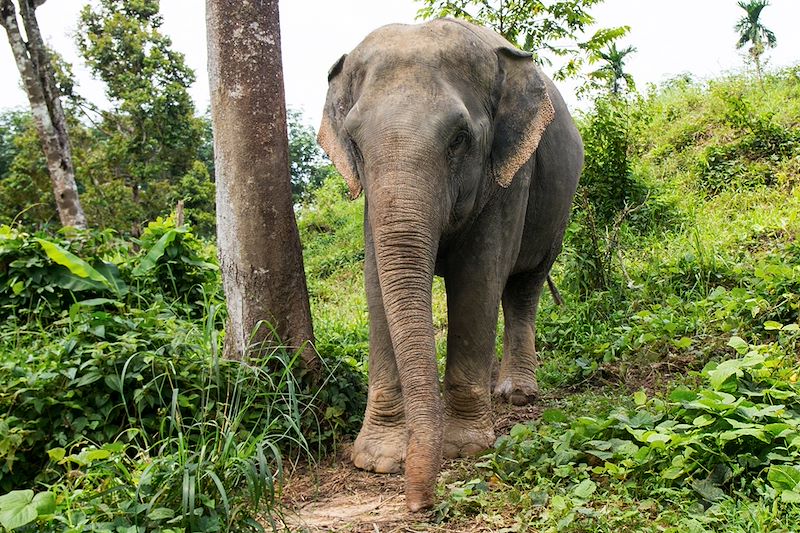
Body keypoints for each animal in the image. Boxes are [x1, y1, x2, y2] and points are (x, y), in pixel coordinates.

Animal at [316, 17, 584, 512]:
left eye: (460, 139)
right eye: (355, 143)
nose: (421, 505)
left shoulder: (509, 176)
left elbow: (477, 280)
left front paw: (465, 449)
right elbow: (376, 285)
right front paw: (378, 461)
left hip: (558, 208)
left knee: (522, 288)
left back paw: (516, 395)